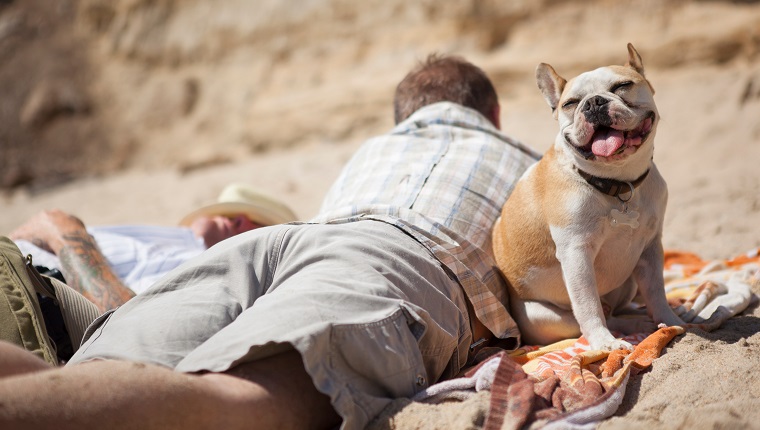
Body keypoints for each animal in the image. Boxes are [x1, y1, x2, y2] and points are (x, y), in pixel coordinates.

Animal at [492, 43, 684, 352]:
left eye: (622, 86)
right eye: (570, 104)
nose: (594, 103)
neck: (619, 183)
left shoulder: (651, 247)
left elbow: (657, 291)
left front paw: (672, 319)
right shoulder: (576, 253)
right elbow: (588, 304)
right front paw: (605, 342)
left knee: (618, 308)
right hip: (545, 318)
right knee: (594, 316)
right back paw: (628, 329)